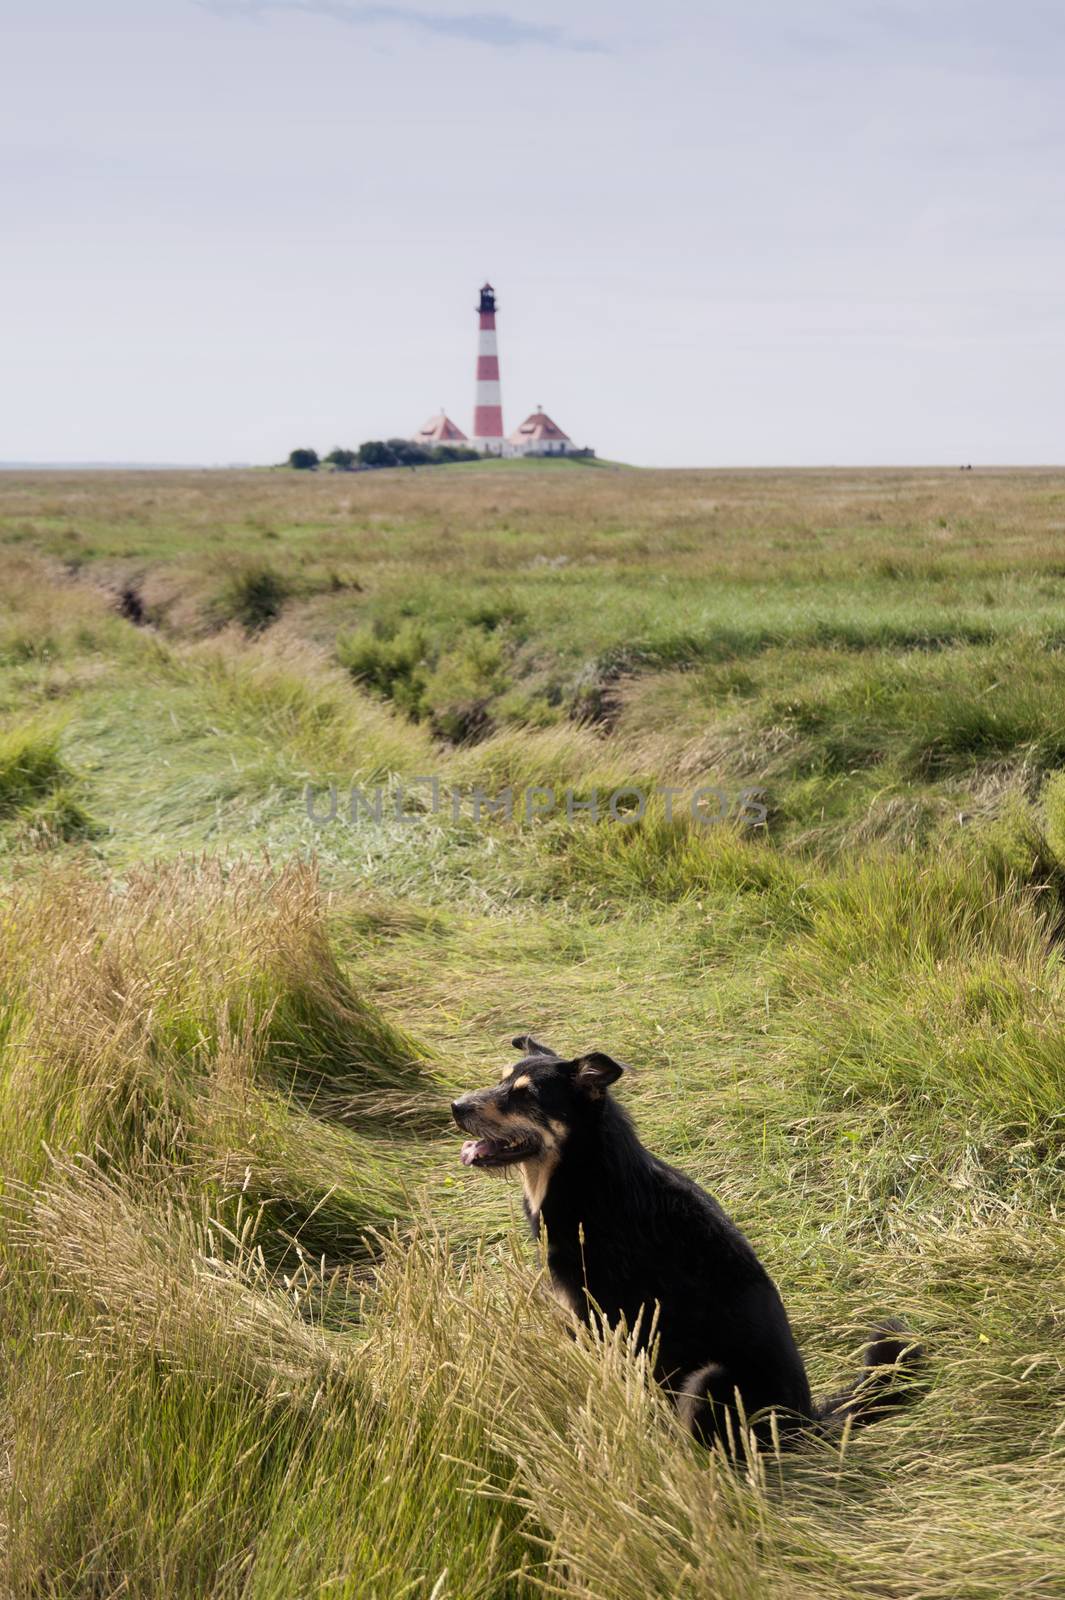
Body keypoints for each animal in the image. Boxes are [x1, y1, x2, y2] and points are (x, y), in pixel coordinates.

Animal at [450, 1036, 914, 1452]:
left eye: (526, 1096)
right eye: (501, 1081)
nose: (456, 1107)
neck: (586, 1173)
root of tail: (805, 1422)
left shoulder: (611, 1326)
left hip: (712, 1381)